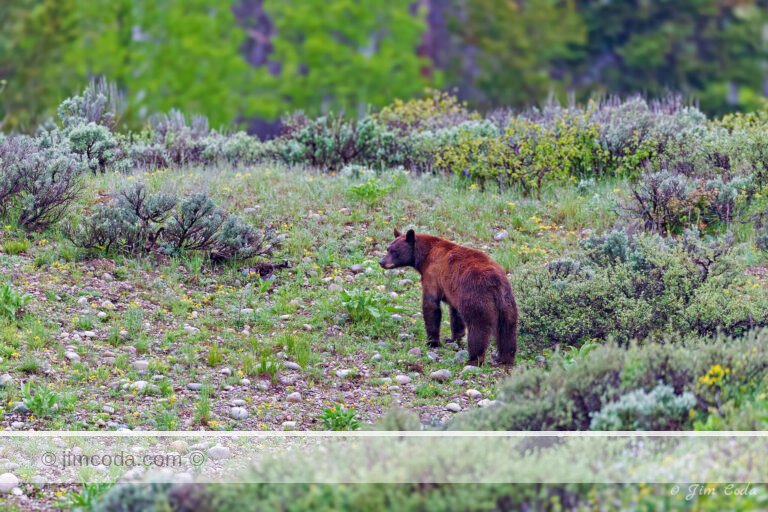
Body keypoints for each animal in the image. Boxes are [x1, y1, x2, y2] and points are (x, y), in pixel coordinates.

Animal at [379, 228, 518, 366]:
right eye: (388, 248)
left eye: (394, 251)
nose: (381, 262)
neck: (425, 256)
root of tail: (495, 282)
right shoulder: (454, 292)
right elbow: (455, 314)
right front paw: (453, 339)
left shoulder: (433, 274)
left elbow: (431, 305)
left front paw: (432, 342)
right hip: (506, 301)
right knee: (507, 328)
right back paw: (504, 358)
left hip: (477, 297)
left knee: (478, 327)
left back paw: (473, 359)